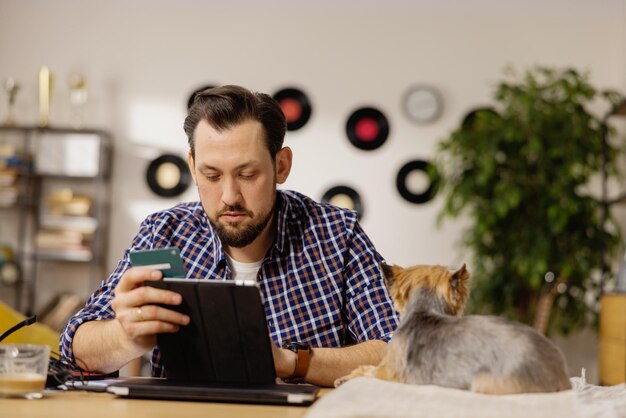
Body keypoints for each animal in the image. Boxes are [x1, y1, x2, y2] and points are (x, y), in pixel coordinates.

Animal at [334, 262, 572, 394]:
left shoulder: (389, 371)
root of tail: (558, 372)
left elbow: (366, 370)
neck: (424, 310)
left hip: (486, 381)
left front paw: (345, 377)